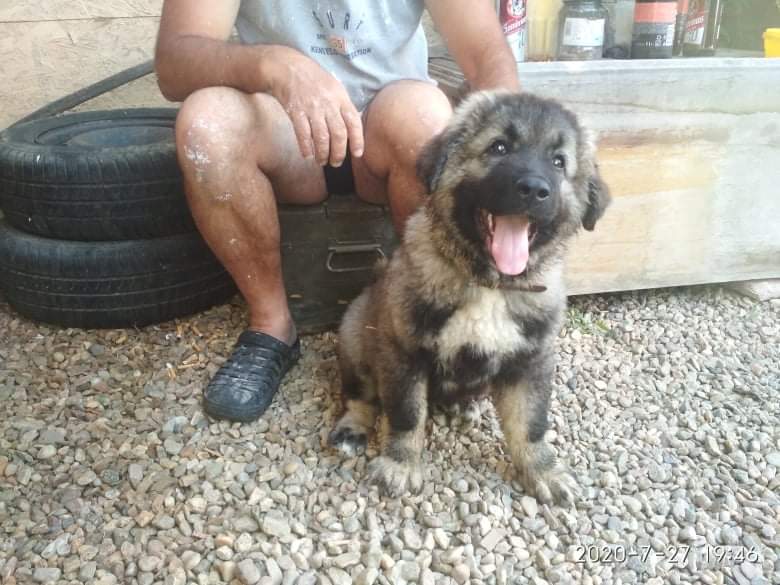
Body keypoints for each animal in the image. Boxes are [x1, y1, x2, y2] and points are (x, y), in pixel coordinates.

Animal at [328, 91, 611, 504]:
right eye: (499, 147)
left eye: (559, 162)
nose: (534, 189)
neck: (490, 284)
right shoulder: (403, 350)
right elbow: (406, 413)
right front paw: (400, 464)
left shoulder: (531, 359)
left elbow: (530, 422)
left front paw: (543, 470)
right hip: (354, 336)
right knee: (361, 395)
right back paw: (353, 427)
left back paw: (463, 407)